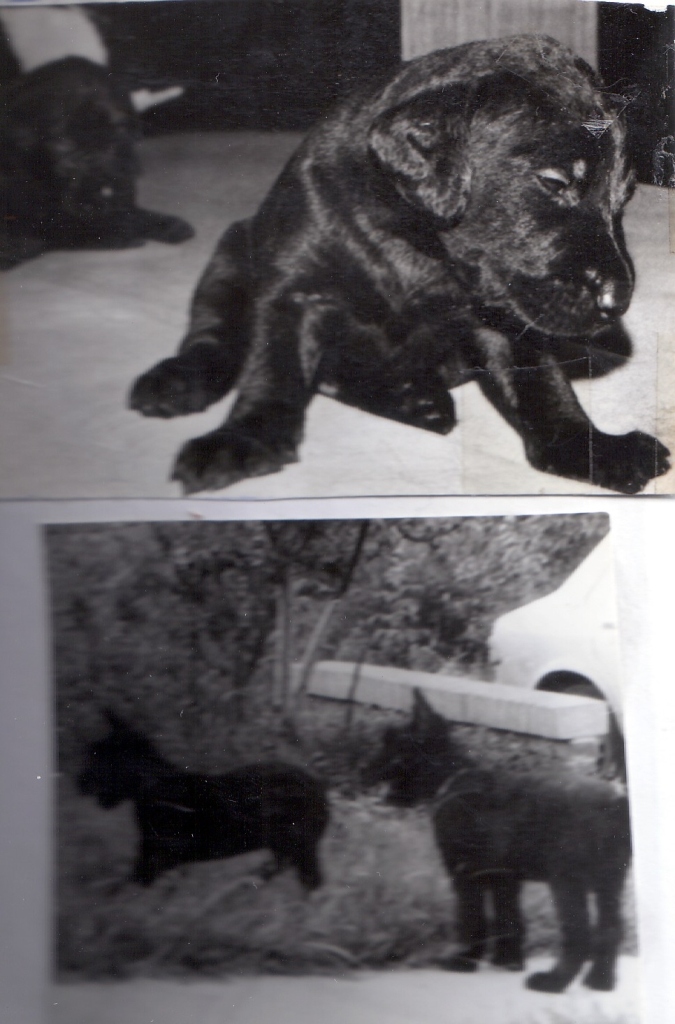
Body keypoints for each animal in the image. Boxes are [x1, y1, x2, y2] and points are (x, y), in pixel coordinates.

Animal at [1, 56, 193, 269]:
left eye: (110, 144)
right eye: (65, 146)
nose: (91, 205)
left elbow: (131, 211)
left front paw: (167, 224)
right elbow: (75, 228)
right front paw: (121, 233)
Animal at [77, 711, 329, 891]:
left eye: (97, 758)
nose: (78, 783)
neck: (157, 787)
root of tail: (319, 788)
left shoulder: (160, 857)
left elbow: (128, 886)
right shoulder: (149, 853)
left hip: (301, 847)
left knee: (312, 881)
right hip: (283, 846)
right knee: (283, 869)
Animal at [129, 34, 669, 495]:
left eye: (623, 199)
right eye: (554, 181)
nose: (618, 300)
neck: (414, 245)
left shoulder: (505, 311)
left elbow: (542, 385)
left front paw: (589, 447)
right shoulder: (295, 288)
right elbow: (273, 368)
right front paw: (244, 438)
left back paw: (416, 399)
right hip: (230, 254)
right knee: (214, 335)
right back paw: (175, 380)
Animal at [362, 689, 631, 993]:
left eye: (392, 744)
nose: (363, 768)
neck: (452, 780)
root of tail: (615, 803)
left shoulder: (466, 873)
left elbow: (472, 918)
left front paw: (464, 960)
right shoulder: (504, 877)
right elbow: (508, 917)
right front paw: (508, 961)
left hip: (568, 880)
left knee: (580, 933)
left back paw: (552, 981)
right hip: (610, 881)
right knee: (611, 928)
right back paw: (600, 981)